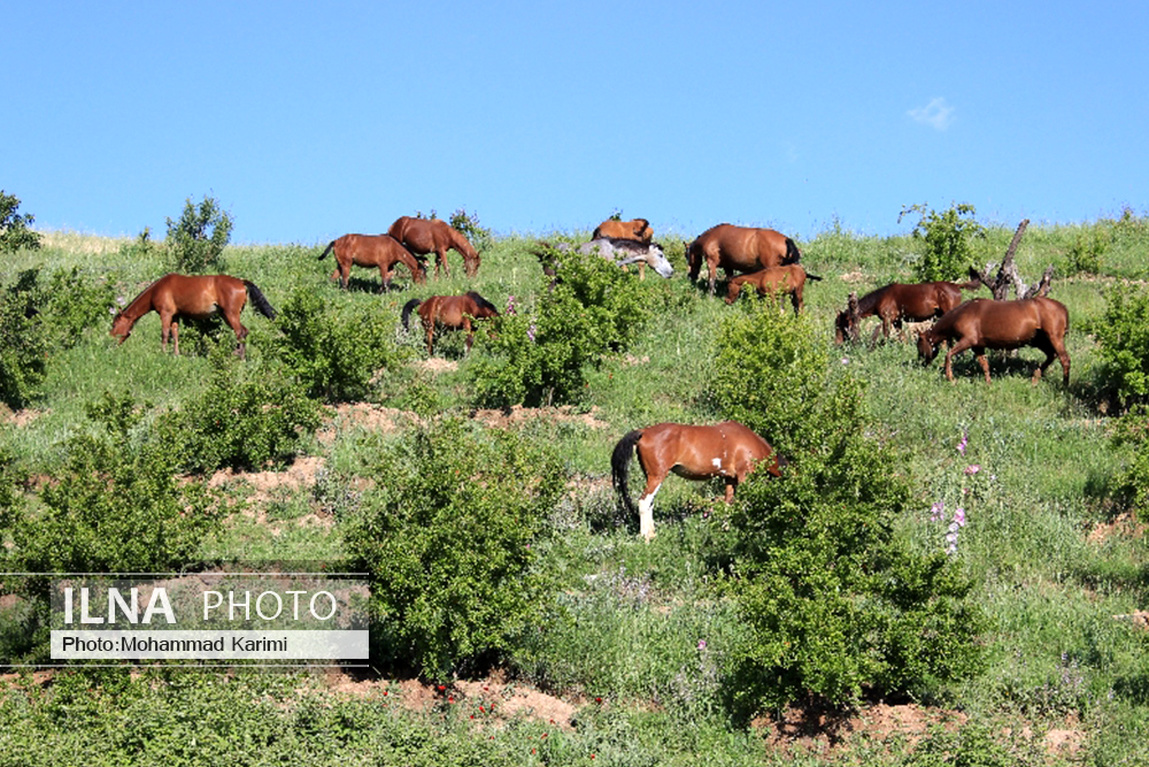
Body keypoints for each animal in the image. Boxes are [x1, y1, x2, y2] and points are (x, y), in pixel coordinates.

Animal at [109, 272, 275, 360]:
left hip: (231, 314)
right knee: (244, 331)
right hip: (227, 315)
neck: (157, 290)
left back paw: (240, 357)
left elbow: (164, 333)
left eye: (115, 324)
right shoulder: (175, 316)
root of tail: (241, 282)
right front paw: (176, 354)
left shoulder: (165, 314)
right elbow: (175, 333)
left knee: (240, 332)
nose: (110, 339)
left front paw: (163, 353)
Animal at [611, 420, 781, 539]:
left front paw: (726, 529)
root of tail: (644, 432)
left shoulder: (730, 479)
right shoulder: (745, 476)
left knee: (650, 503)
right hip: (656, 477)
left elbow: (728, 504)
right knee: (644, 501)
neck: (750, 443)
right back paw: (646, 537)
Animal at [831, 280, 983, 346]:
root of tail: (956, 285)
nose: (837, 343)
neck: (881, 297)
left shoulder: (887, 319)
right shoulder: (897, 321)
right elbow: (901, 337)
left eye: (840, 325)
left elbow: (886, 335)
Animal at [914, 298, 1066, 385]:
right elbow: (985, 365)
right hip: (1039, 341)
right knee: (1051, 355)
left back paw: (1064, 384)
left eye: (919, 344)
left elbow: (948, 355)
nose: (922, 363)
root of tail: (1063, 308)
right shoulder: (977, 347)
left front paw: (950, 378)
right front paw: (988, 383)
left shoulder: (967, 340)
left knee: (1064, 359)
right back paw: (1035, 378)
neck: (961, 313)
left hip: (1054, 338)